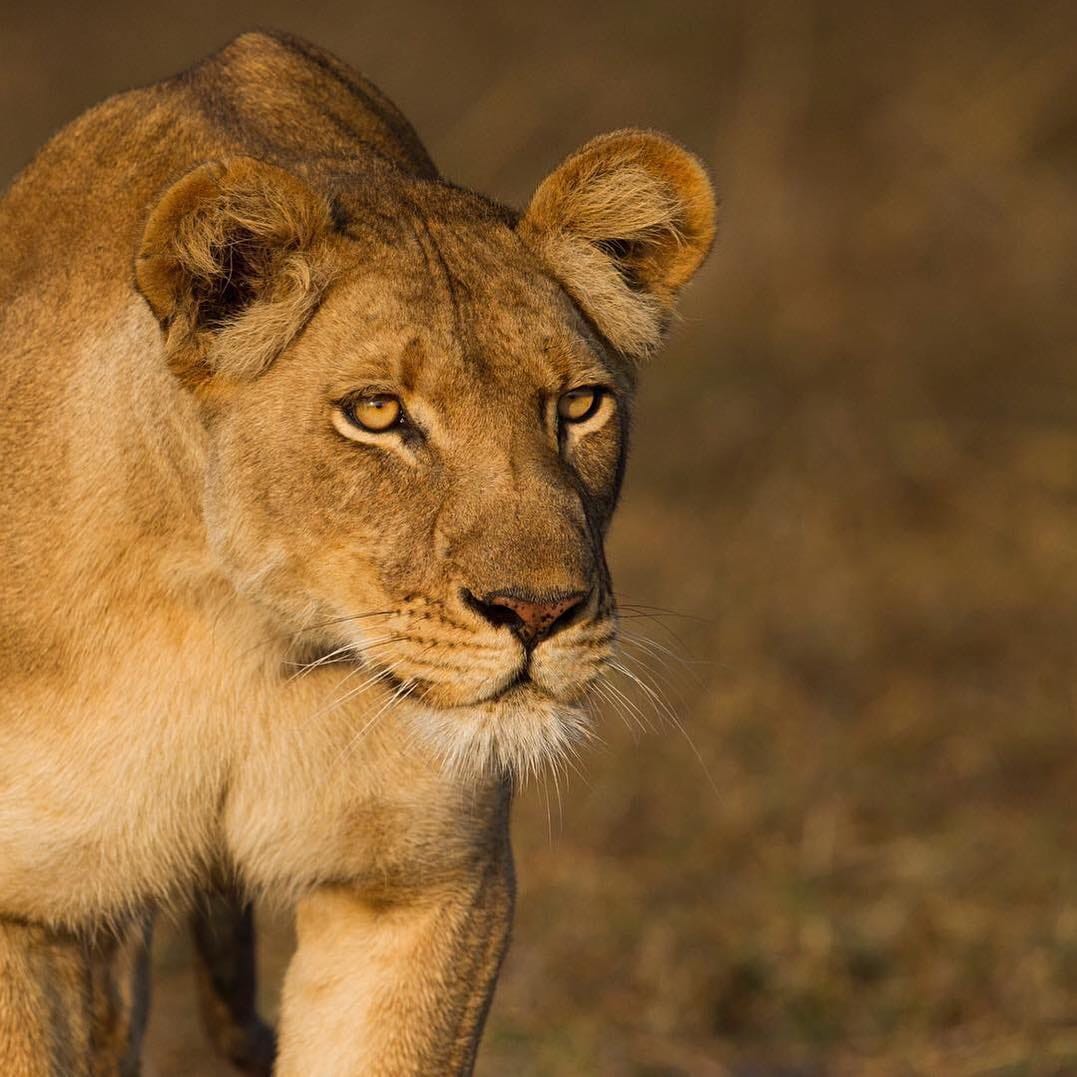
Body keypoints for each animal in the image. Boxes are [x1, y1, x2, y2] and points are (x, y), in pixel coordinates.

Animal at [0, 30, 715, 1076]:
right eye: (377, 413)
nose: (539, 612)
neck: (247, 642)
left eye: (579, 404)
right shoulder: (28, 909)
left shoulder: (422, 879)